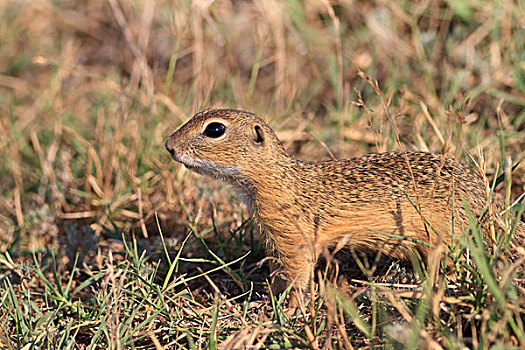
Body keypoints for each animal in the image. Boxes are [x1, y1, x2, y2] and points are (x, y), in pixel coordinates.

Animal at [165, 108, 524, 300]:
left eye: (214, 129)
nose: (168, 145)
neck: (282, 179)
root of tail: (490, 205)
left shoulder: (294, 237)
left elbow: (297, 276)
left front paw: (285, 311)